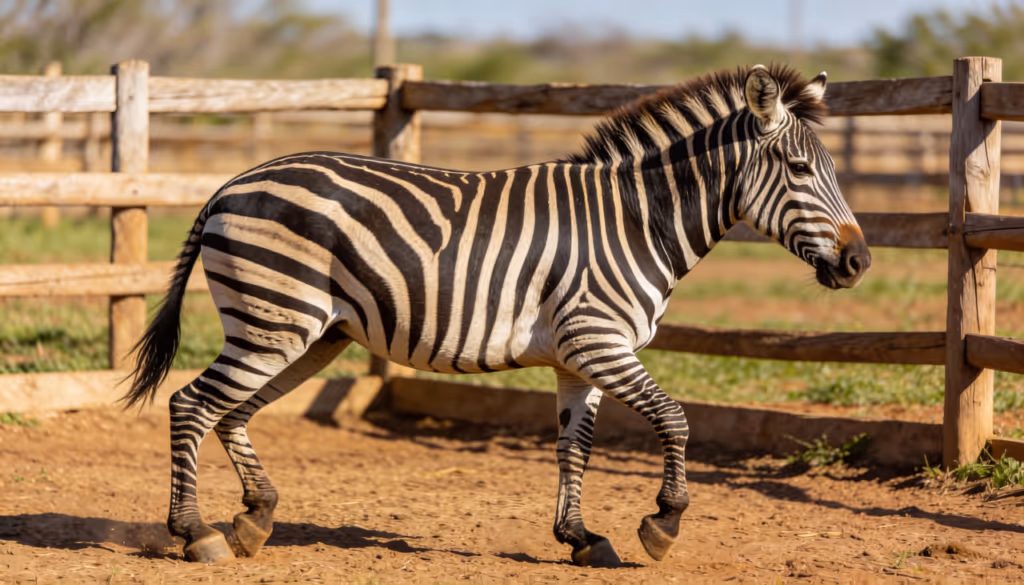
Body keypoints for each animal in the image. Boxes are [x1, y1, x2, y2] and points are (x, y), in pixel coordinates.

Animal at [123, 64, 870, 567]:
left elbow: (574, 446)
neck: (636, 221)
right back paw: (197, 534)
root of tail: (231, 183)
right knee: (192, 404)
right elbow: (676, 418)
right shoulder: (599, 341)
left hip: (309, 333)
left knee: (231, 412)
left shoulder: (579, 357)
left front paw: (580, 537)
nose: (859, 261)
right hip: (274, 322)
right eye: (800, 169)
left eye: (832, 169)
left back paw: (255, 518)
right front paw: (663, 523)